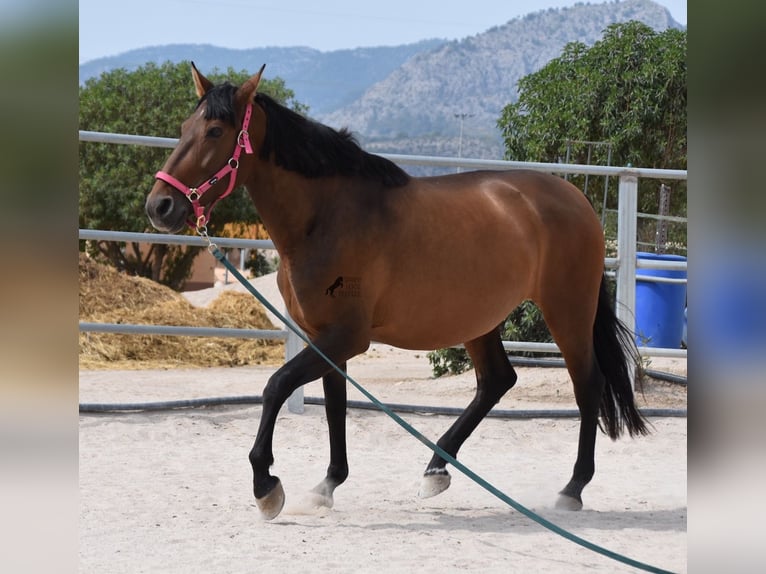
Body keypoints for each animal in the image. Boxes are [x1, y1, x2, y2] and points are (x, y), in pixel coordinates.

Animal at [145, 63, 648, 521]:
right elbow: (334, 407)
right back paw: (435, 471)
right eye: (184, 128)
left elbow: (275, 387)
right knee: (497, 381)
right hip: (478, 319)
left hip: (567, 311)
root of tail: (576, 199)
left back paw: (571, 489)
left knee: (587, 385)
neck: (326, 218)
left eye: (215, 131)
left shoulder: (347, 337)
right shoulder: (323, 338)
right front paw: (326, 485)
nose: (160, 206)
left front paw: (266, 485)